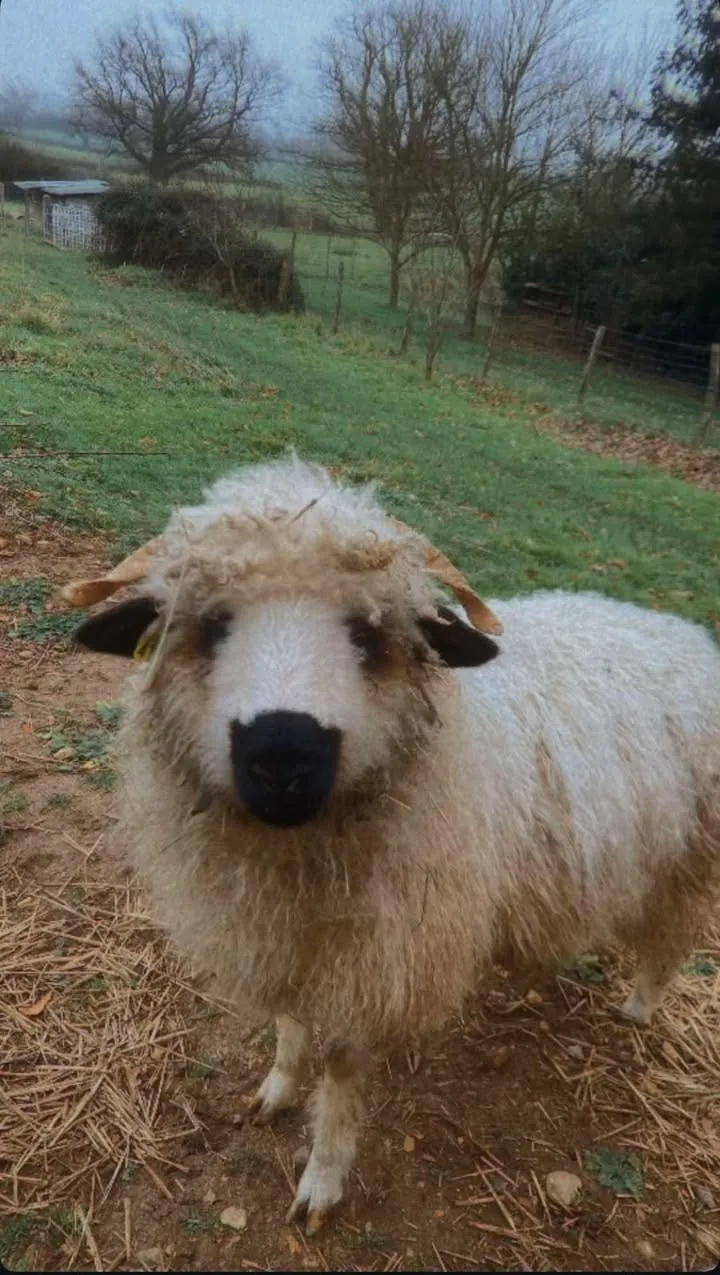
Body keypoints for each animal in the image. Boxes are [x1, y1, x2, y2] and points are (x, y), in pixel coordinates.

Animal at [66, 454, 720, 1234]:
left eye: (368, 634)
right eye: (211, 625)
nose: (283, 755)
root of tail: (681, 629)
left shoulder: (378, 956)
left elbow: (343, 1068)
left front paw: (322, 1178)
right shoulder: (288, 935)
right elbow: (290, 1021)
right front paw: (278, 1086)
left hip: (692, 858)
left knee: (670, 939)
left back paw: (639, 1007)